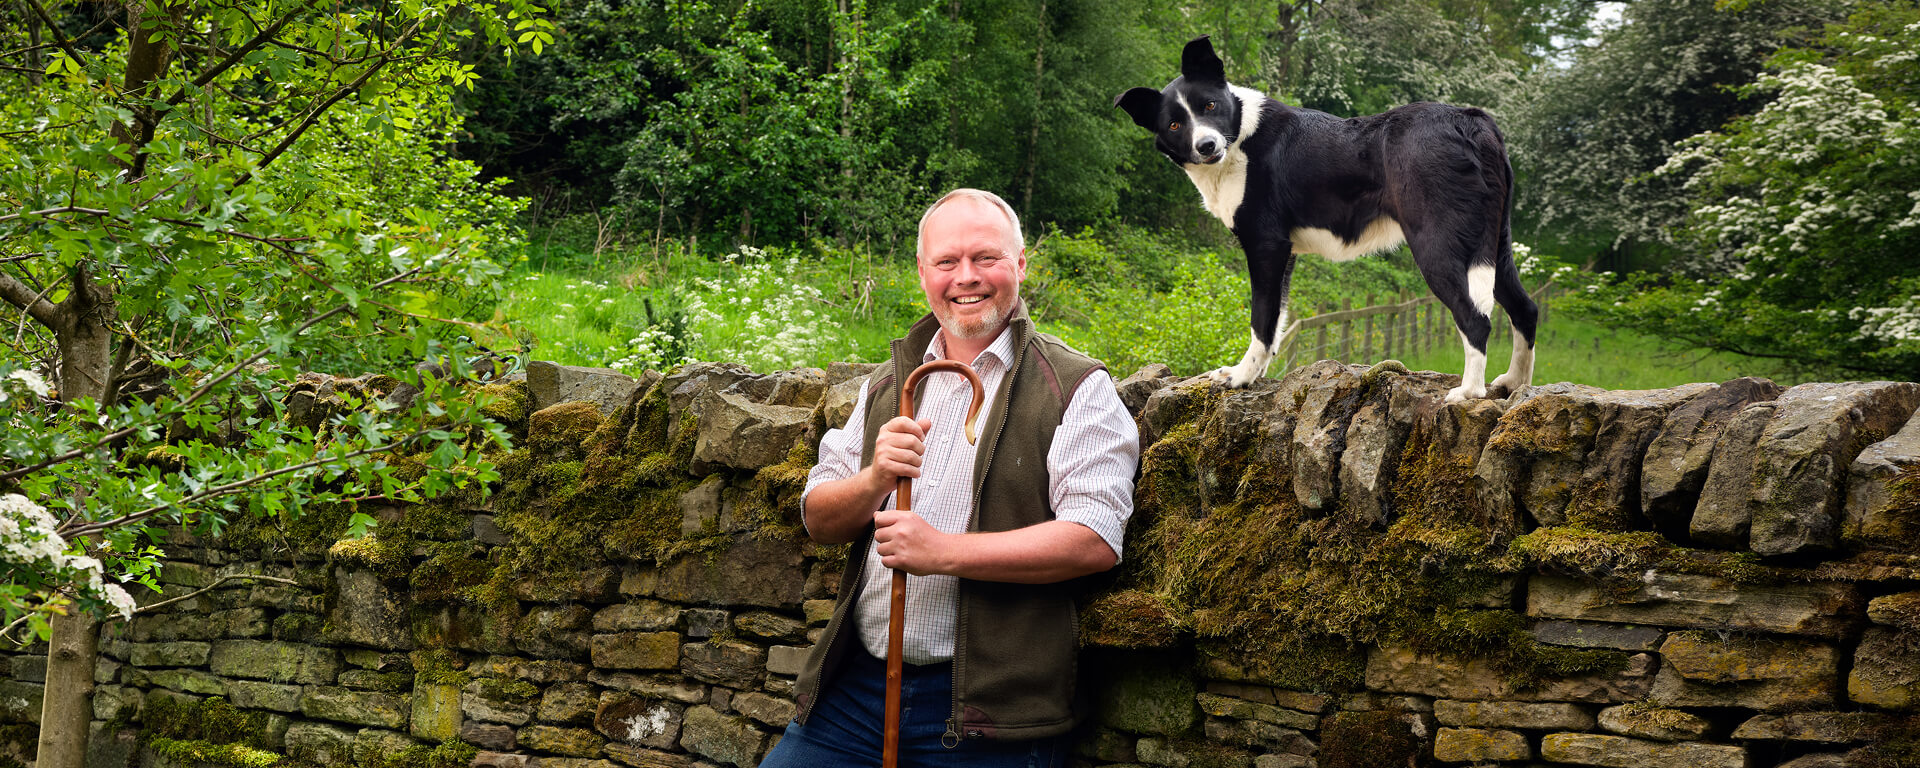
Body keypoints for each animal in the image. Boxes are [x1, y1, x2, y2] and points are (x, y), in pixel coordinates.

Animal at [1115, 35, 1535, 402]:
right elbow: (1276, 324)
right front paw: (1259, 374)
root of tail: (1472, 120)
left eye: (1210, 107)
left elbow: (1261, 319)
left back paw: (1469, 392)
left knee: (1476, 319)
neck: (1240, 139)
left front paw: (1242, 377)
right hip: (1495, 246)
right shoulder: (1284, 253)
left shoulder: (1265, 246)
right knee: (1525, 309)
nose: (1206, 146)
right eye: (1174, 124)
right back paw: (1515, 384)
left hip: (1437, 247)